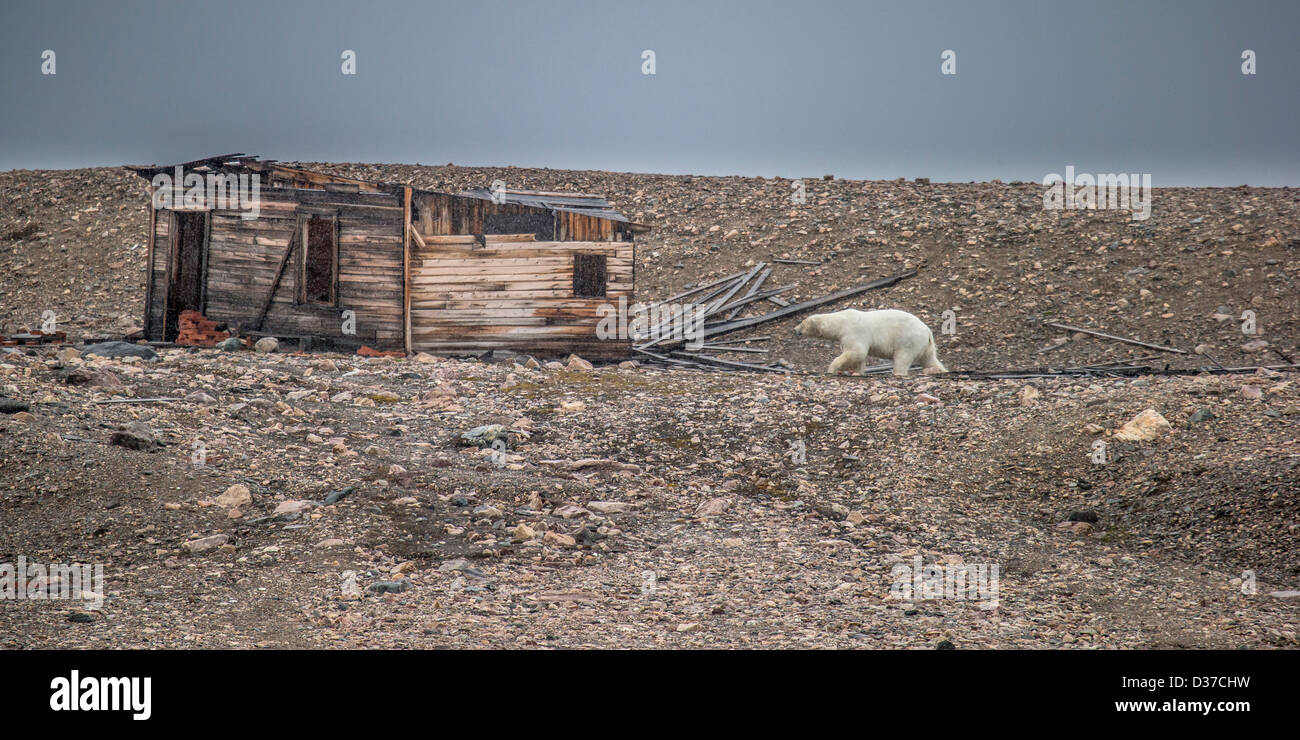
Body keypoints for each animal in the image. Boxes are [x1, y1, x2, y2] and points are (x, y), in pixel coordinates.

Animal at [790, 306, 946, 374]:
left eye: (802, 322)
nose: (795, 329)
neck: (842, 322)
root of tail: (927, 331)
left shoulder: (853, 332)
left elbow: (856, 352)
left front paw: (832, 368)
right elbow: (859, 358)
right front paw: (858, 372)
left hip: (909, 340)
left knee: (902, 358)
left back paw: (897, 373)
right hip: (925, 345)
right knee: (930, 360)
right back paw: (941, 370)